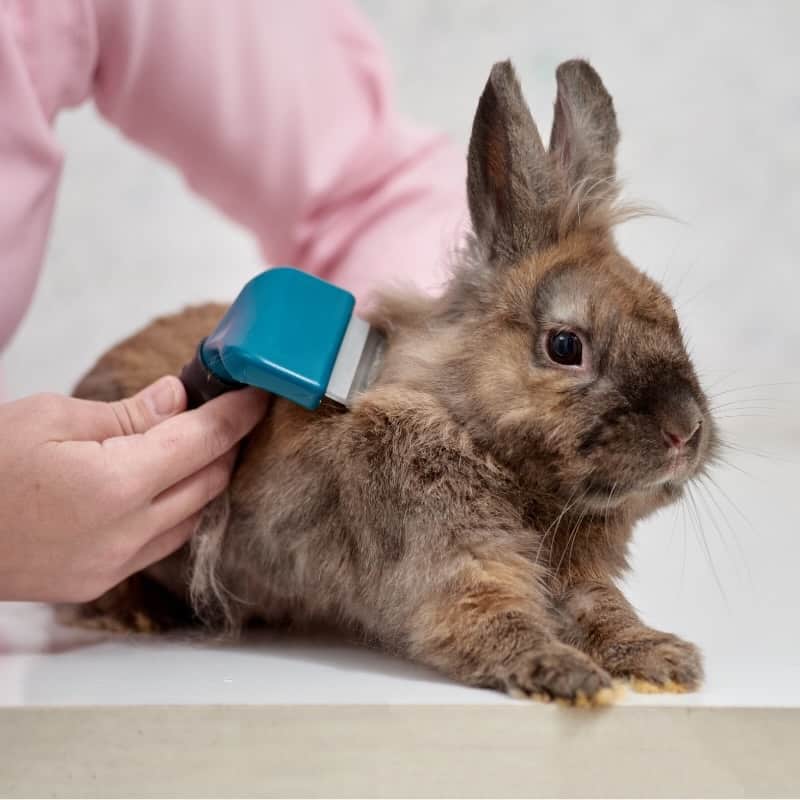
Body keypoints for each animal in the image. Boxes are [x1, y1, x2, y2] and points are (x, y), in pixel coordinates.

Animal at [72, 59, 716, 704]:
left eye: (671, 317)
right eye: (565, 346)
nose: (685, 432)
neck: (474, 435)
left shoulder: (574, 580)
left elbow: (604, 611)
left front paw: (662, 660)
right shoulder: (455, 572)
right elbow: (497, 623)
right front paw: (568, 675)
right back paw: (134, 615)